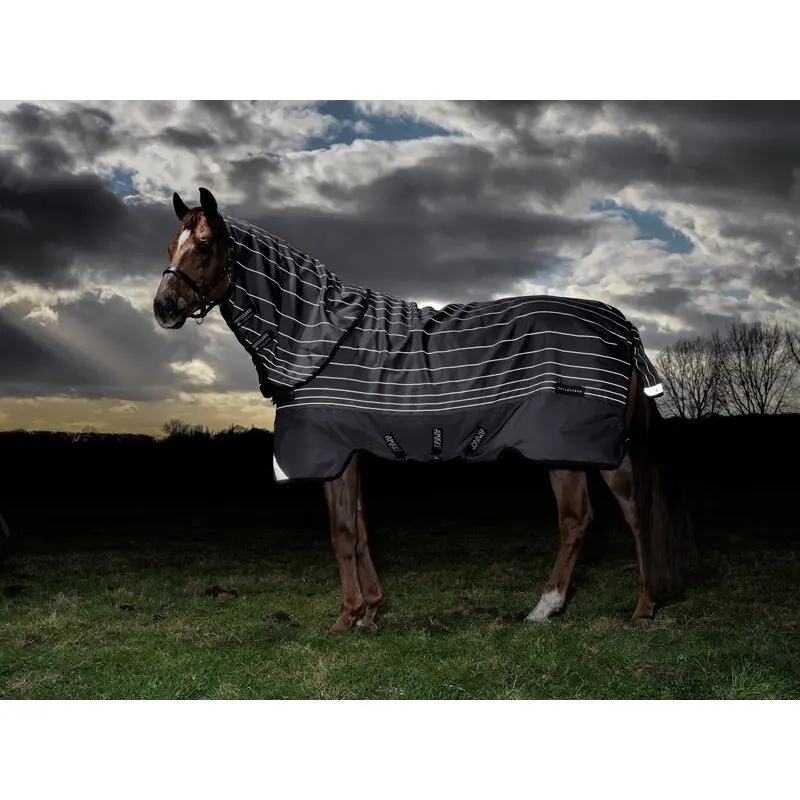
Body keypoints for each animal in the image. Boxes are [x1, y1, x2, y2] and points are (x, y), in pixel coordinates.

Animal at [152, 187, 694, 632]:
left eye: (204, 245)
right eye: (169, 247)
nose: (164, 307)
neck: (317, 334)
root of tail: (619, 323)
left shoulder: (331, 455)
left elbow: (342, 533)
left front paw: (345, 618)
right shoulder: (351, 454)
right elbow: (361, 529)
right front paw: (371, 611)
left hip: (583, 447)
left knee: (620, 515)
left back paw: (623, 607)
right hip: (573, 450)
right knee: (591, 518)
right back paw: (567, 607)